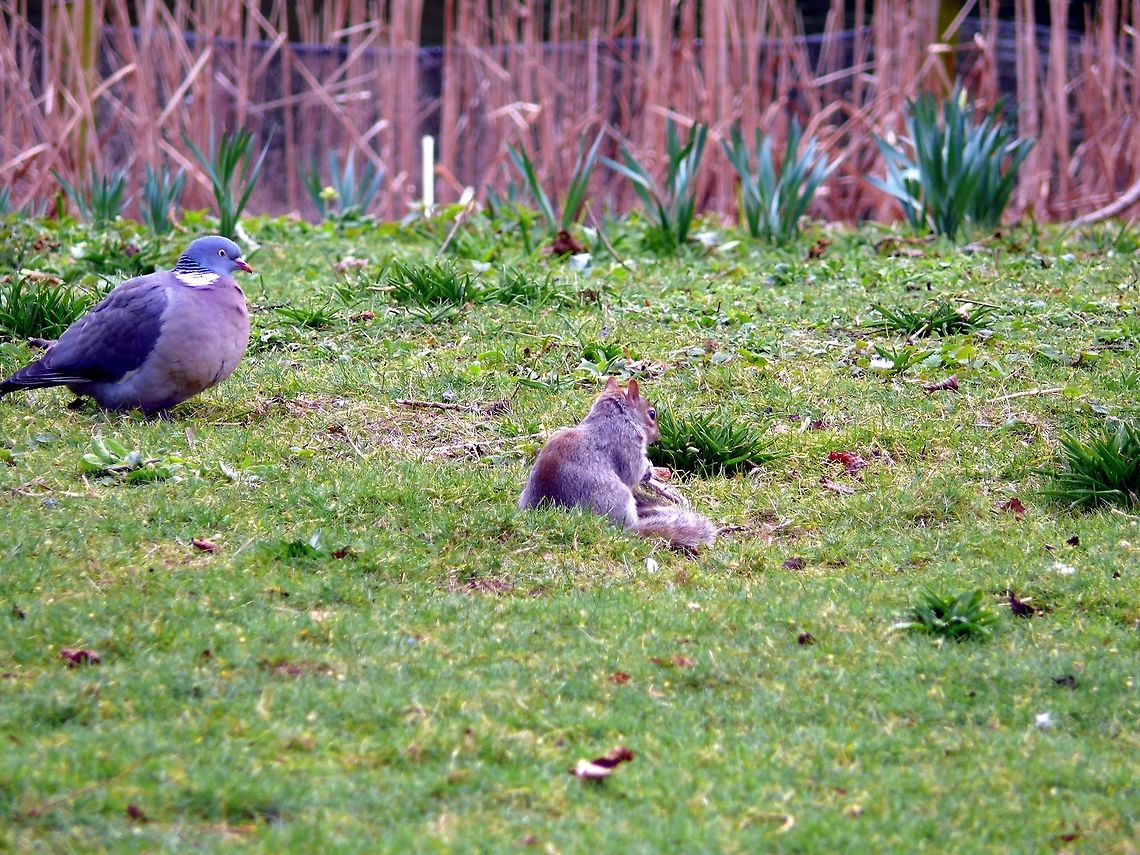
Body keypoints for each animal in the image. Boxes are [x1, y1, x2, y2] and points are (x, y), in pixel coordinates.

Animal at [519, 377, 717, 551]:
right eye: (652, 414)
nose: (657, 435)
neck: (613, 416)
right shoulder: (628, 443)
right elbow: (633, 472)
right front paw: (648, 469)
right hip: (619, 496)